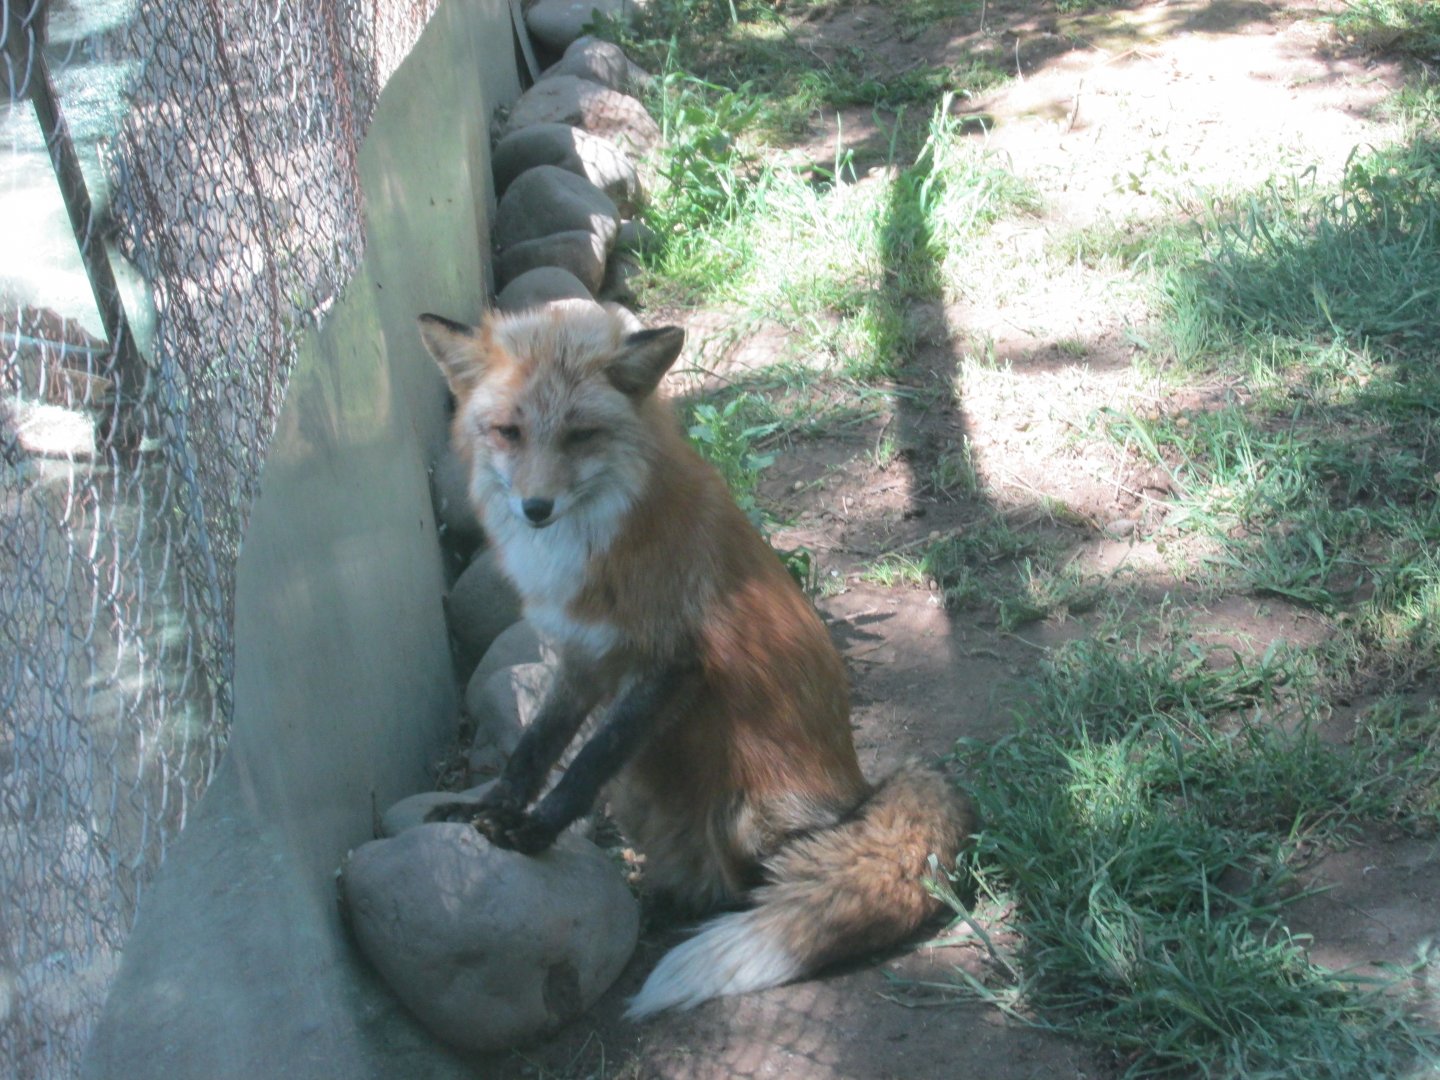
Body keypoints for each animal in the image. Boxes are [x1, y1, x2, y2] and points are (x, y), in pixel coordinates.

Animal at [417, 300, 973, 1018]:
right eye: (508, 432)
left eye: (581, 435)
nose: (535, 508)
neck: (596, 542)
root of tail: (861, 792)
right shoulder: (582, 659)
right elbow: (536, 749)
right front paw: (494, 808)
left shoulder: (674, 661)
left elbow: (586, 762)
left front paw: (534, 832)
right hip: (640, 792)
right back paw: (666, 901)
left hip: (745, 816)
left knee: (774, 877)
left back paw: (717, 910)